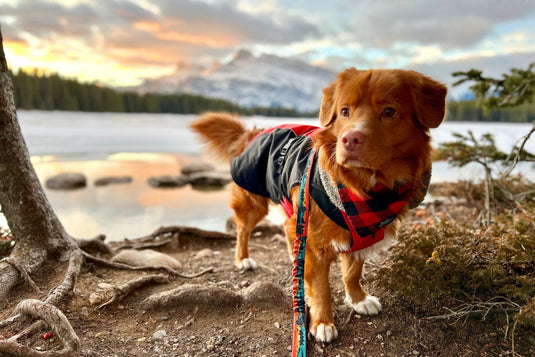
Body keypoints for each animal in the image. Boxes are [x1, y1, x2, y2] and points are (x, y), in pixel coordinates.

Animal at [189, 67, 448, 342]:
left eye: (389, 111)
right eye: (345, 111)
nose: (350, 139)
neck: (365, 190)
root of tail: (253, 133)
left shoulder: (362, 233)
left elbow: (352, 272)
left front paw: (358, 299)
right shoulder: (314, 242)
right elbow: (322, 287)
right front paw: (322, 322)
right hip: (254, 203)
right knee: (242, 230)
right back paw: (243, 259)